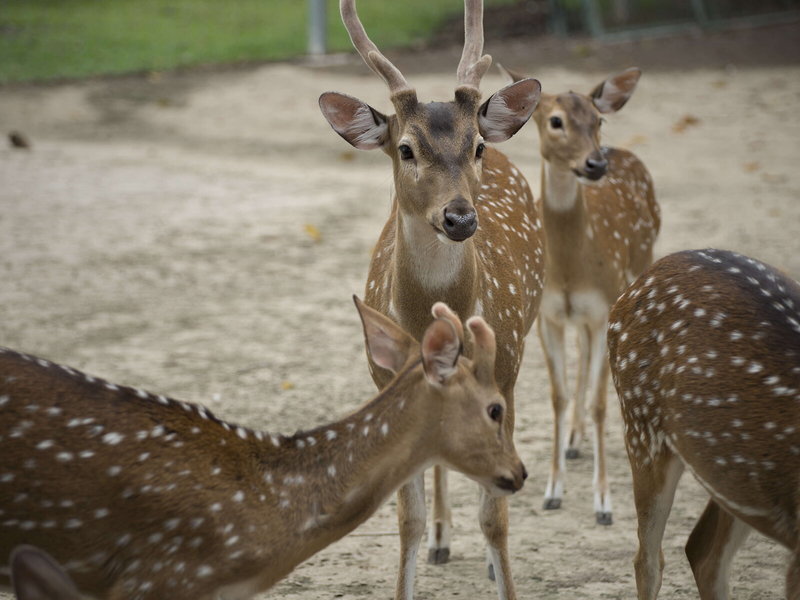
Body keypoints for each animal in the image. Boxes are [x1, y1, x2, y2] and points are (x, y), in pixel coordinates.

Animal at [318, 1, 544, 600]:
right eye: (405, 148)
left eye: (476, 147)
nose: (460, 217)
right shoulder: (387, 381)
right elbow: (407, 517)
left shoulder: (505, 373)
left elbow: (495, 514)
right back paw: (443, 540)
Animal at [500, 67, 664, 524]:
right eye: (555, 121)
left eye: (598, 119)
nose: (595, 163)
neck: (573, 268)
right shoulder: (548, 315)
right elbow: (557, 396)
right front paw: (553, 491)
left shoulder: (604, 307)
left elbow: (600, 403)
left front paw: (603, 502)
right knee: (583, 353)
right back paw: (573, 442)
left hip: (637, 269)